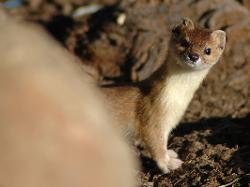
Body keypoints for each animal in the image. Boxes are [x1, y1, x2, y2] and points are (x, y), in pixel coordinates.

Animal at [100, 18, 227, 173]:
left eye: (208, 50)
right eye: (185, 42)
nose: (193, 56)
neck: (178, 99)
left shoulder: (170, 121)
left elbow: (164, 141)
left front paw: (170, 155)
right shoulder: (152, 114)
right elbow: (155, 142)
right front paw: (168, 164)